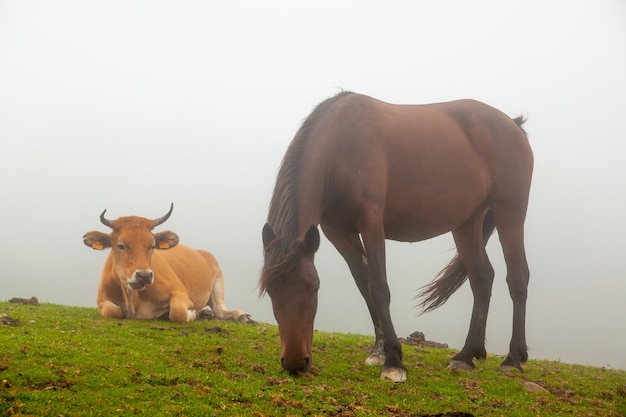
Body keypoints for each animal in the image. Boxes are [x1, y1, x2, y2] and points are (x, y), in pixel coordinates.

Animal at [81, 203, 250, 324]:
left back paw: (239, 316)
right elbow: (111, 311)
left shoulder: (179, 292)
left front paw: (194, 313)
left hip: (218, 282)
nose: (144, 275)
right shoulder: (101, 299)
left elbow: (177, 311)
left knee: (220, 309)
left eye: (152, 245)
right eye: (121, 245)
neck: (131, 298)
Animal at [258, 91, 532, 380]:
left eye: (314, 287)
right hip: (467, 222)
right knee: (482, 278)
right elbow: (364, 285)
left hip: (510, 211)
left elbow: (379, 287)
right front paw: (378, 351)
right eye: (271, 290)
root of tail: (513, 125)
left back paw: (513, 359)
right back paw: (466, 356)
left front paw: (393, 361)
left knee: (517, 278)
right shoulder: (338, 233)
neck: (340, 149)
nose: (295, 362)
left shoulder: (371, 224)